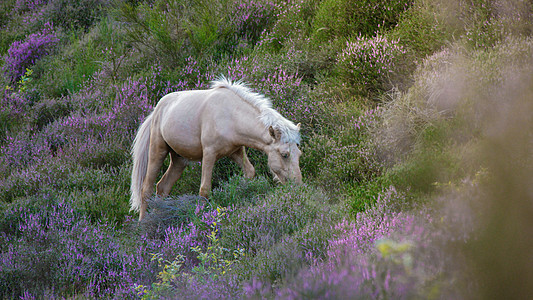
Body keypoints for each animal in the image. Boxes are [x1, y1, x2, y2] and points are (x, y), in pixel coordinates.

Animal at [130, 76, 302, 219]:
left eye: (299, 153)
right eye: (285, 154)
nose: (298, 186)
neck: (231, 116)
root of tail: (156, 110)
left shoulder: (236, 152)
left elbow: (250, 173)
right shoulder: (209, 154)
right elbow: (204, 189)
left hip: (179, 160)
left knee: (162, 188)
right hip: (158, 150)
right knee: (146, 189)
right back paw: (143, 224)